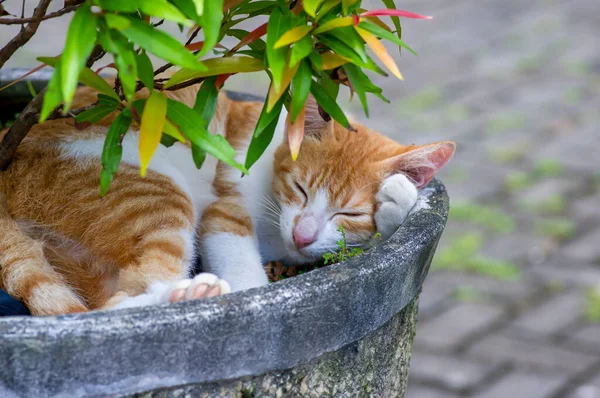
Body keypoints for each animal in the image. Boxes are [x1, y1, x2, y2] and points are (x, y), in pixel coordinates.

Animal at [0, 82, 452, 316]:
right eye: (301, 188)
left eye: (349, 212)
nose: (303, 236)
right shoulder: (225, 211)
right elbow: (244, 268)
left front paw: (399, 196)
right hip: (154, 192)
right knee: (116, 307)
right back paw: (192, 295)